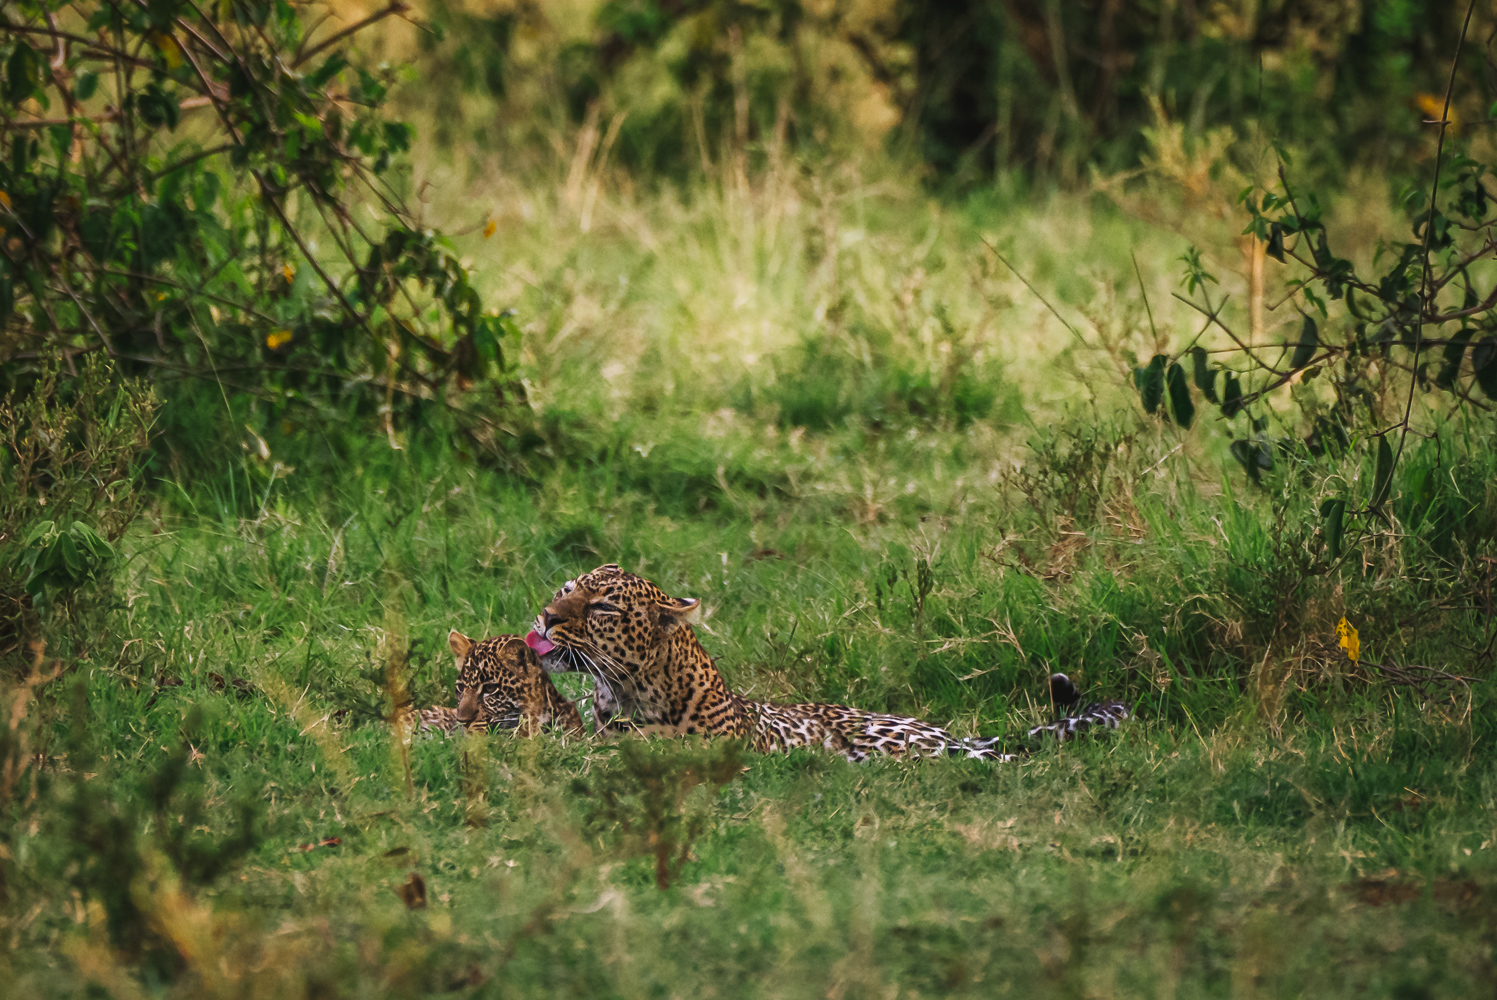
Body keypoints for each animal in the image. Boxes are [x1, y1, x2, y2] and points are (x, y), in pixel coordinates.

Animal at [523, 562, 1125, 757]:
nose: (546, 617)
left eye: (602, 606)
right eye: (566, 589)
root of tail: (952, 734)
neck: (627, 693)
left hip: (903, 745)